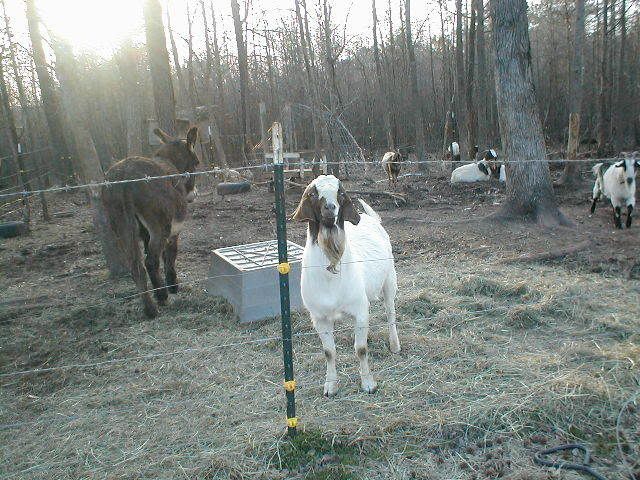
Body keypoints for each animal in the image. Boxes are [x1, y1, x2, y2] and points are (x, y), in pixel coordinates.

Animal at [102, 126, 200, 317]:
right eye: (196, 163)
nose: (193, 194)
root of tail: (124, 176)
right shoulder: (174, 231)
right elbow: (170, 255)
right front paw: (172, 286)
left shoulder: (145, 234)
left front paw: (161, 287)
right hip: (160, 227)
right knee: (150, 262)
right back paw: (161, 298)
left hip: (120, 226)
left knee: (136, 266)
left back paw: (150, 308)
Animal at [292, 175, 400, 397]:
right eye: (313, 193)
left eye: (340, 192)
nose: (330, 208)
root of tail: (371, 219)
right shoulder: (320, 318)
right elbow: (329, 352)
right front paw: (330, 386)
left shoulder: (359, 310)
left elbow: (361, 349)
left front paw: (368, 383)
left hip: (389, 281)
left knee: (390, 313)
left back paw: (395, 345)